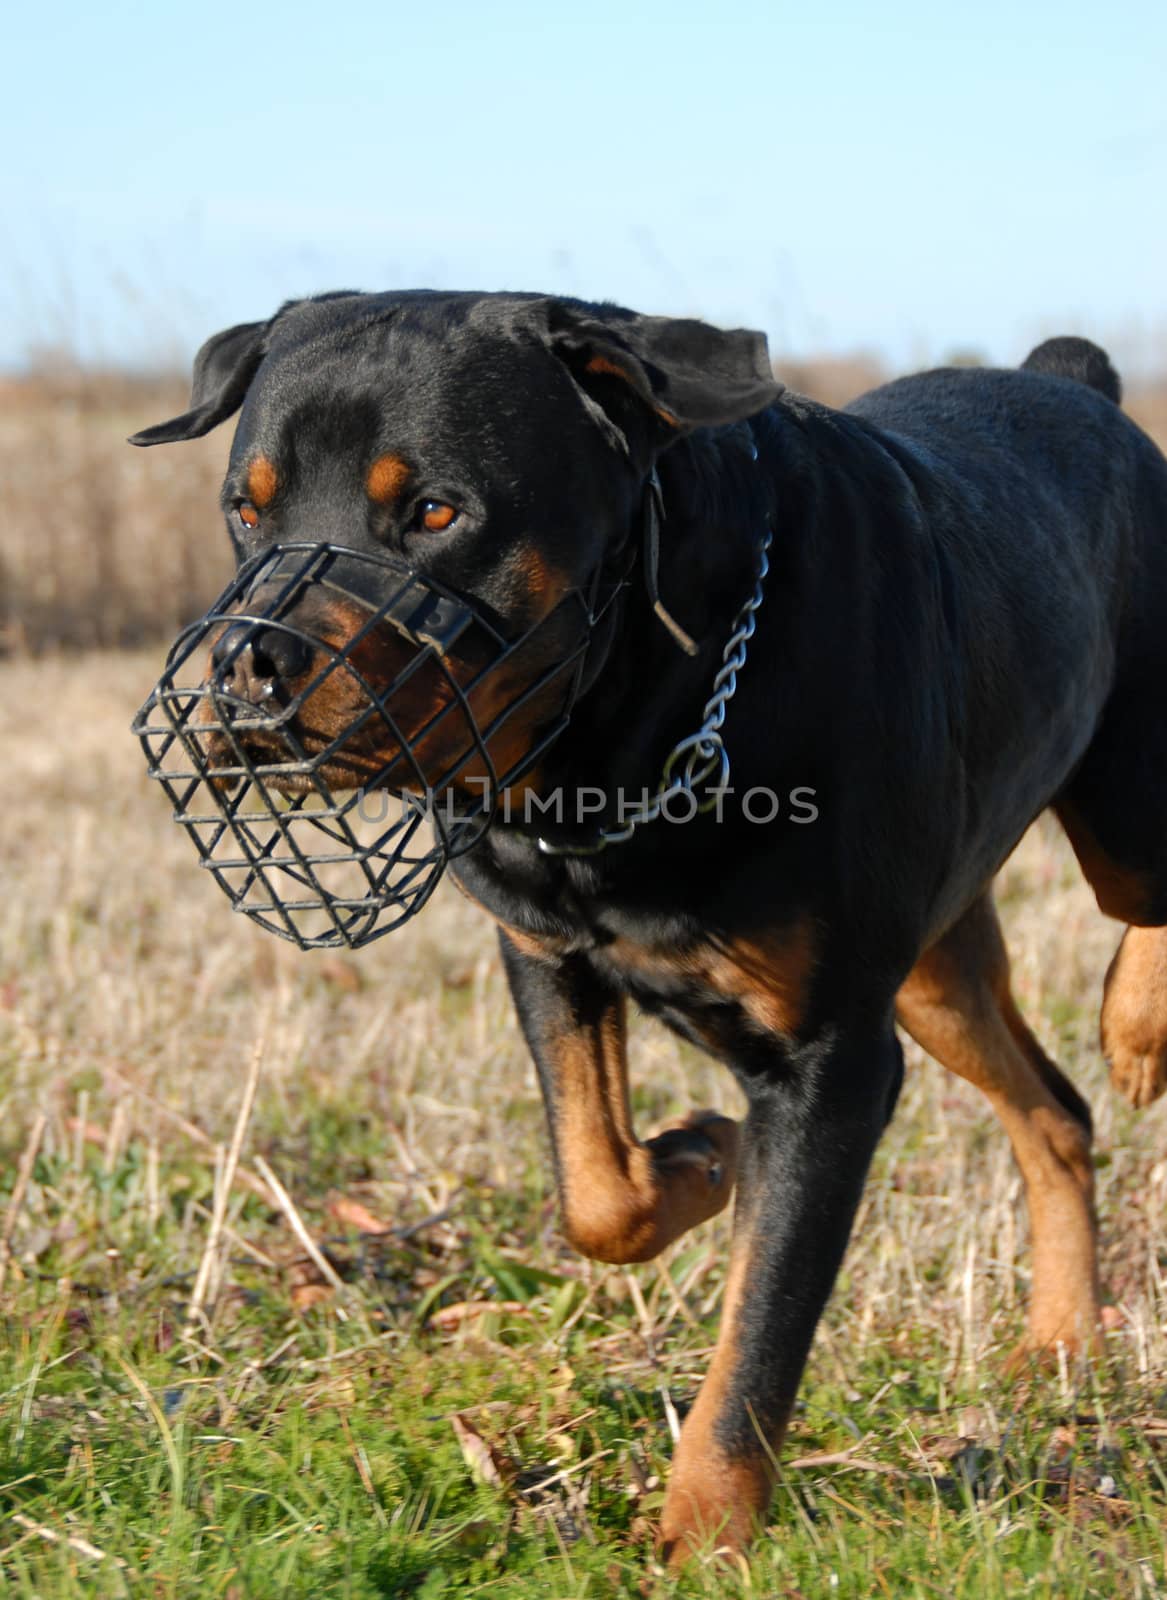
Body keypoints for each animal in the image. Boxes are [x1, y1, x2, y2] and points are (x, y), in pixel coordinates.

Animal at [132, 297, 1165, 1561]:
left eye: (435, 511)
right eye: (247, 505)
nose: (246, 666)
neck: (621, 736)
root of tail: (1075, 382)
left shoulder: (833, 1060)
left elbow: (762, 1326)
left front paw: (706, 1536)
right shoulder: (543, 955)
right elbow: (597, 1193)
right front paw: (700, 1155)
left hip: (1121, 797)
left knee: (1140, 902)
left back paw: (1137, 1024)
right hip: (933, 967)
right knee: (1052, 1111)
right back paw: (1062, 1335)